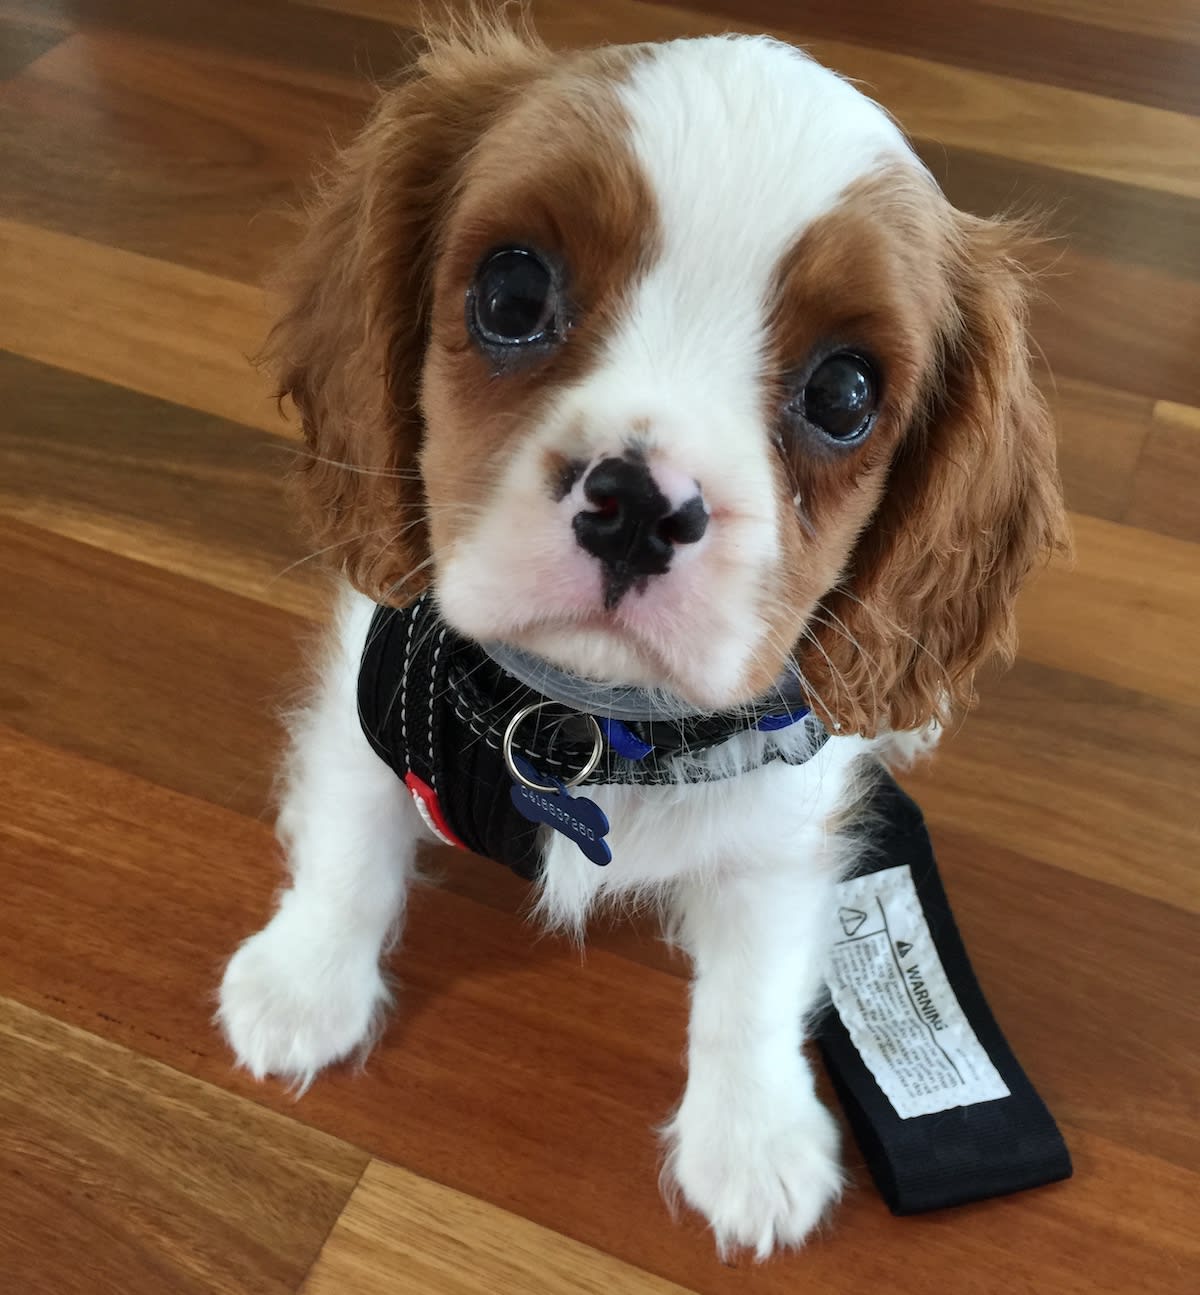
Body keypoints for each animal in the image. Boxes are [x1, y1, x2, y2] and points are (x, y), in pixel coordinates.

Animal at [216, 17, 1061, 1253]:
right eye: (513, 290)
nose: (636, 507)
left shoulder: (784, 819)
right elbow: (348, 836)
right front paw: (304, 979)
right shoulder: (371, 694)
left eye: (846, 393)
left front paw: (754, 1139)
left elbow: (758, 974)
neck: (579, 718)